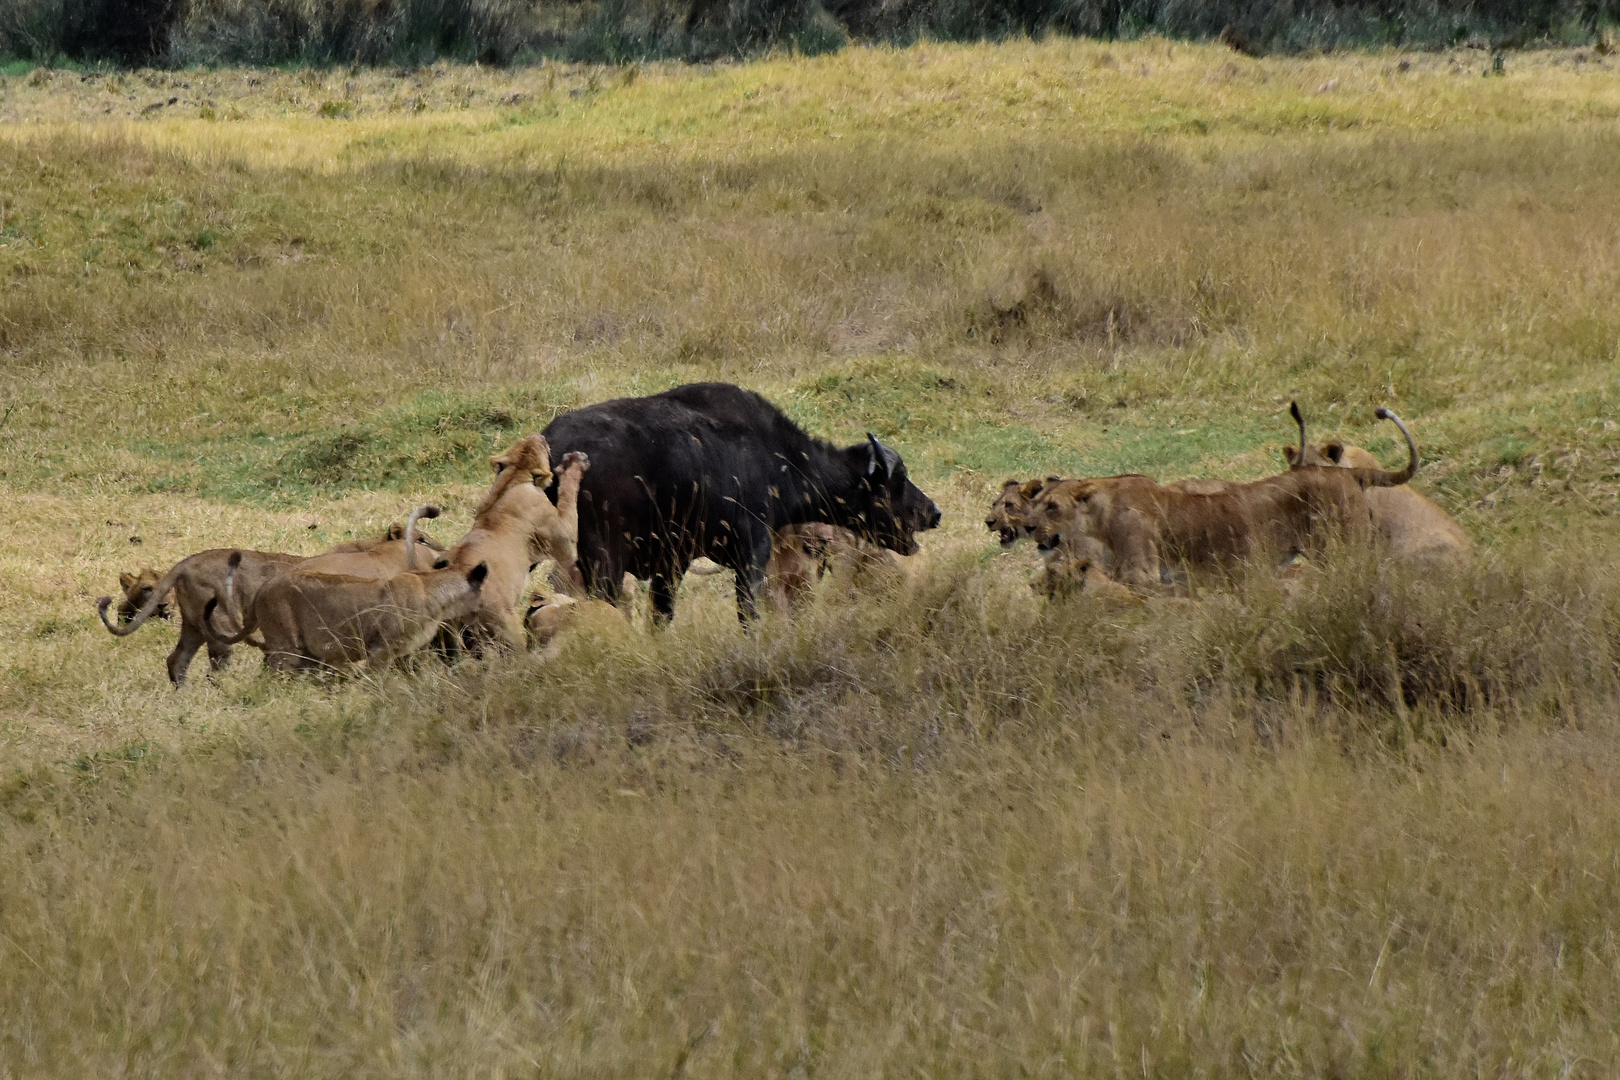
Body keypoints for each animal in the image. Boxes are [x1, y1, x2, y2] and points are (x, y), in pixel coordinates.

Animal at [541, 382, 939, 621]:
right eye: (898, 480)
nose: (934, 512)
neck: (779, 459)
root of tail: (550, 444)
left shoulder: (673, 562)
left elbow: (661, 616)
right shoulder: (752, 556)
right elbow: (748, 614)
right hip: (602, 562)